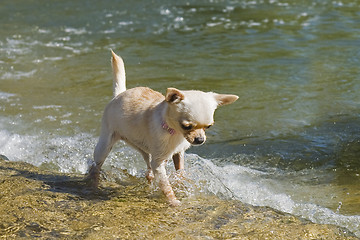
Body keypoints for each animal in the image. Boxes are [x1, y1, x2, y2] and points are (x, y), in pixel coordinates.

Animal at [86, 51, 239, 206]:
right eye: (186, 126)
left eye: (209, 126)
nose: (200, 140)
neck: (175, 132)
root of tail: (119, 94)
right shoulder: (159, 163)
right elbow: (166, 186)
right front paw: (173, 201)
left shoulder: (178, 153)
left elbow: (180, 171)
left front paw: (182, 183)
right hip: (105, 144)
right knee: (95, 166)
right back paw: (94, 183)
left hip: (144, 148)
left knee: (148, 168)